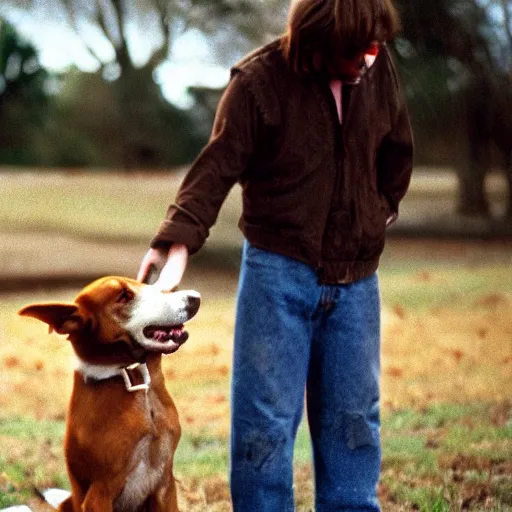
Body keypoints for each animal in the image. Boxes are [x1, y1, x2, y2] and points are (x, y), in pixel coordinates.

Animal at [18, 278, 199, 510]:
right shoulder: (99, 493)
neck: (134, 380)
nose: (195, 298)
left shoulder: (165, 486)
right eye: (124, 296)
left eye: (143, 284)